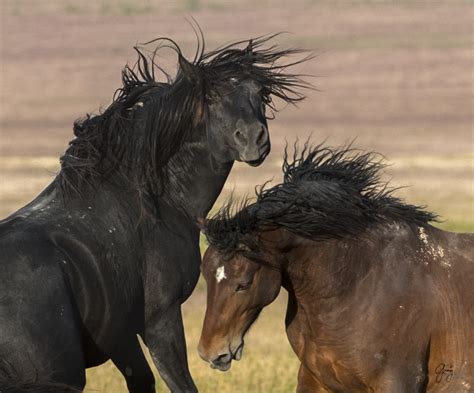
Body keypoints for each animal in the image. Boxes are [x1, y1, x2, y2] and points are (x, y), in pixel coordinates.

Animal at [0, 35, 310, 390]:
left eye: (260, 93)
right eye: (212, 97)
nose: (254, 140)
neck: (150, 201)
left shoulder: (121, 334)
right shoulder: (160, 318)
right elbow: (180, 382)